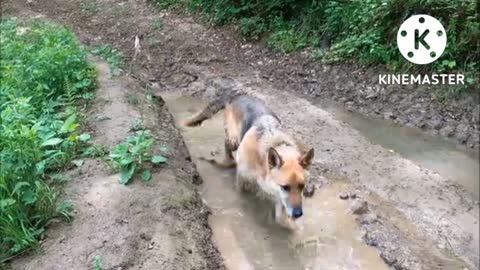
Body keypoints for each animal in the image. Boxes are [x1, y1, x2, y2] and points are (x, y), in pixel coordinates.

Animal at [182, 94, 314, 227]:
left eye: (302, 186)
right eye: (285, 187)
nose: (298, 214)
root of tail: (236, 96)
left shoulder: (277, 196)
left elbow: (279, 216)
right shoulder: (242, 181)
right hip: (234, 141)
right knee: (227, 147)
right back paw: (225, 161)